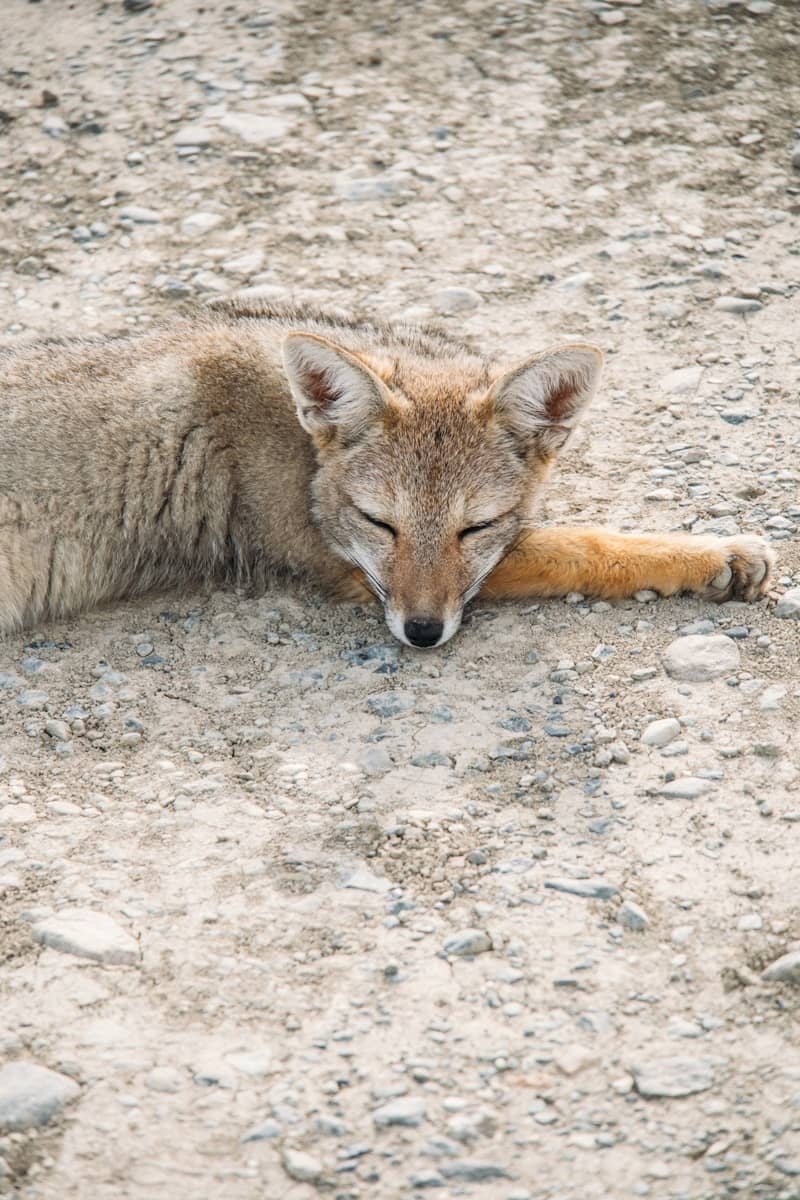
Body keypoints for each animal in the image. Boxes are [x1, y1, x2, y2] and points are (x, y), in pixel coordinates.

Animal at [0, 300, 774, 647]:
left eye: (474, 528)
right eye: (382, 524)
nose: (423, 632)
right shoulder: (341, 566)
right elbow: (575, 546)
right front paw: (708, 555)